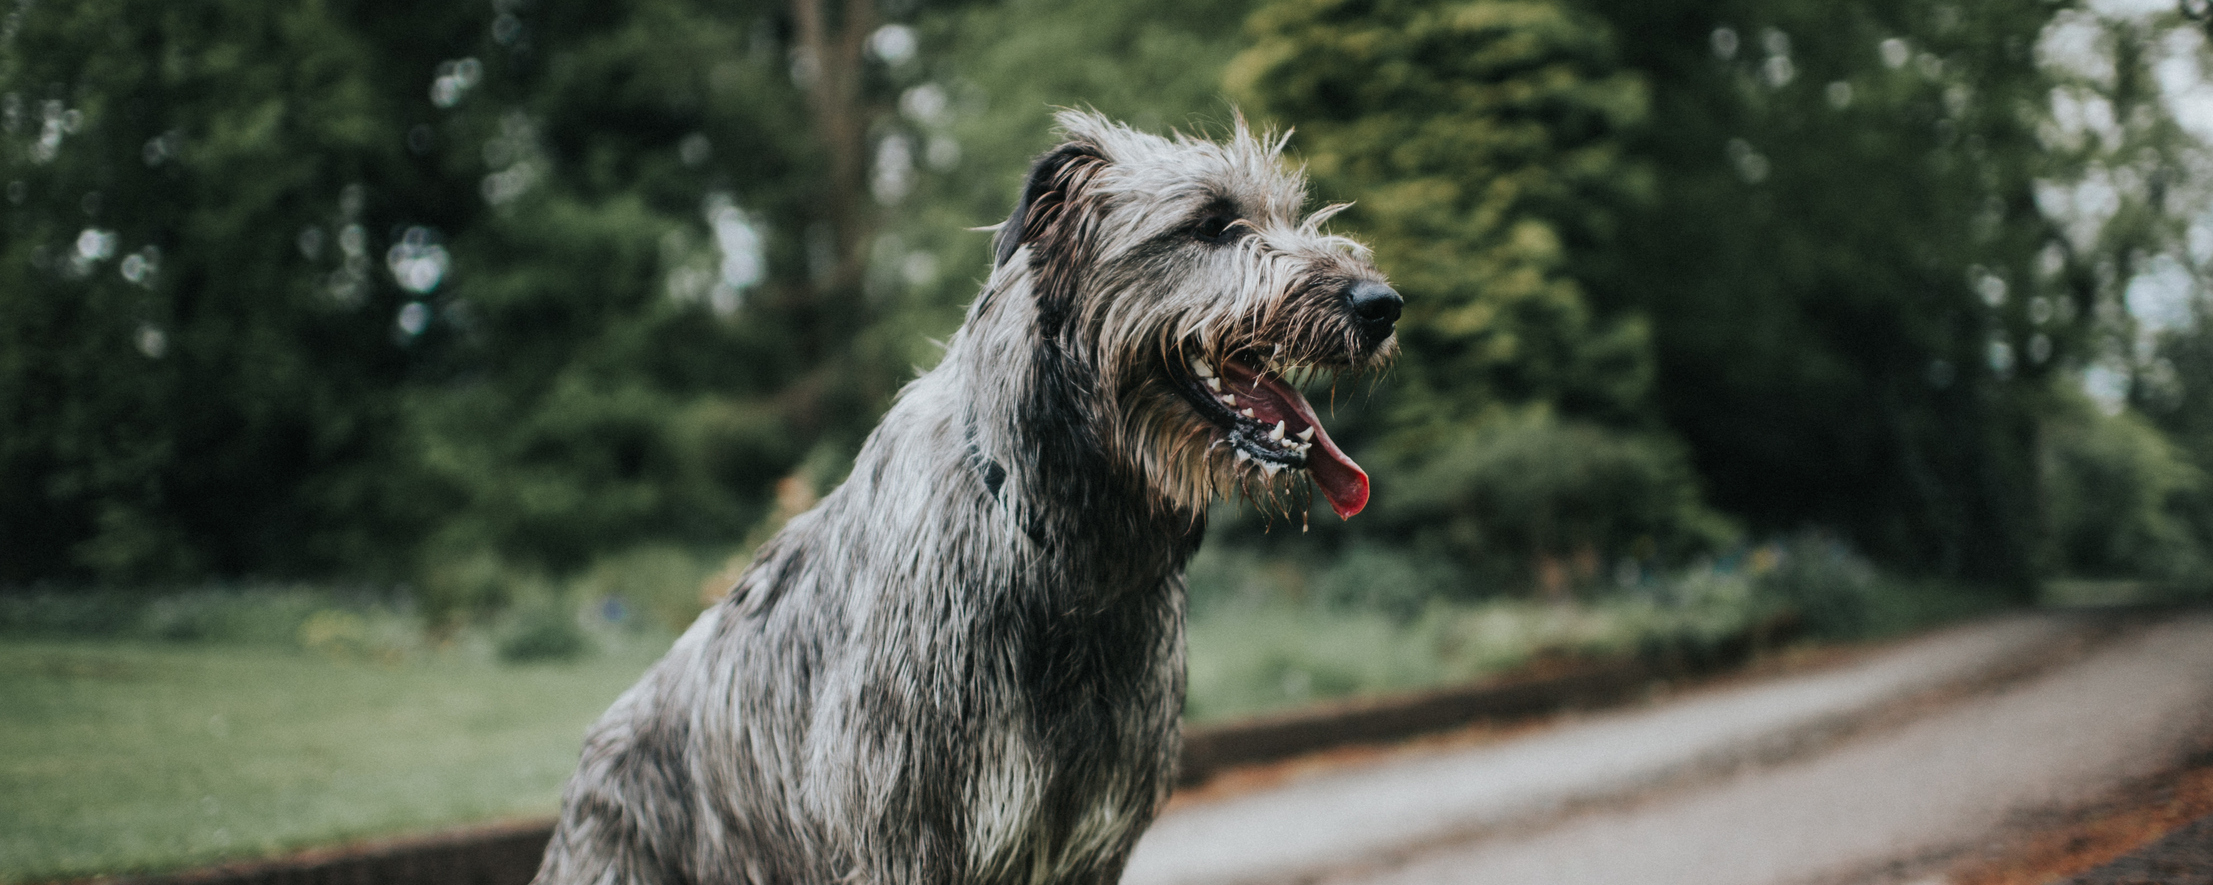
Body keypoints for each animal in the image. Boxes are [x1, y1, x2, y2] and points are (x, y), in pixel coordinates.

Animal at [531, 110, 1398, 885]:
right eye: (1212, 223)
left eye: (1286, 210)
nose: (1380, 304)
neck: (1063, 556)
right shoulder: (901, 832)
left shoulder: (1089, 838)